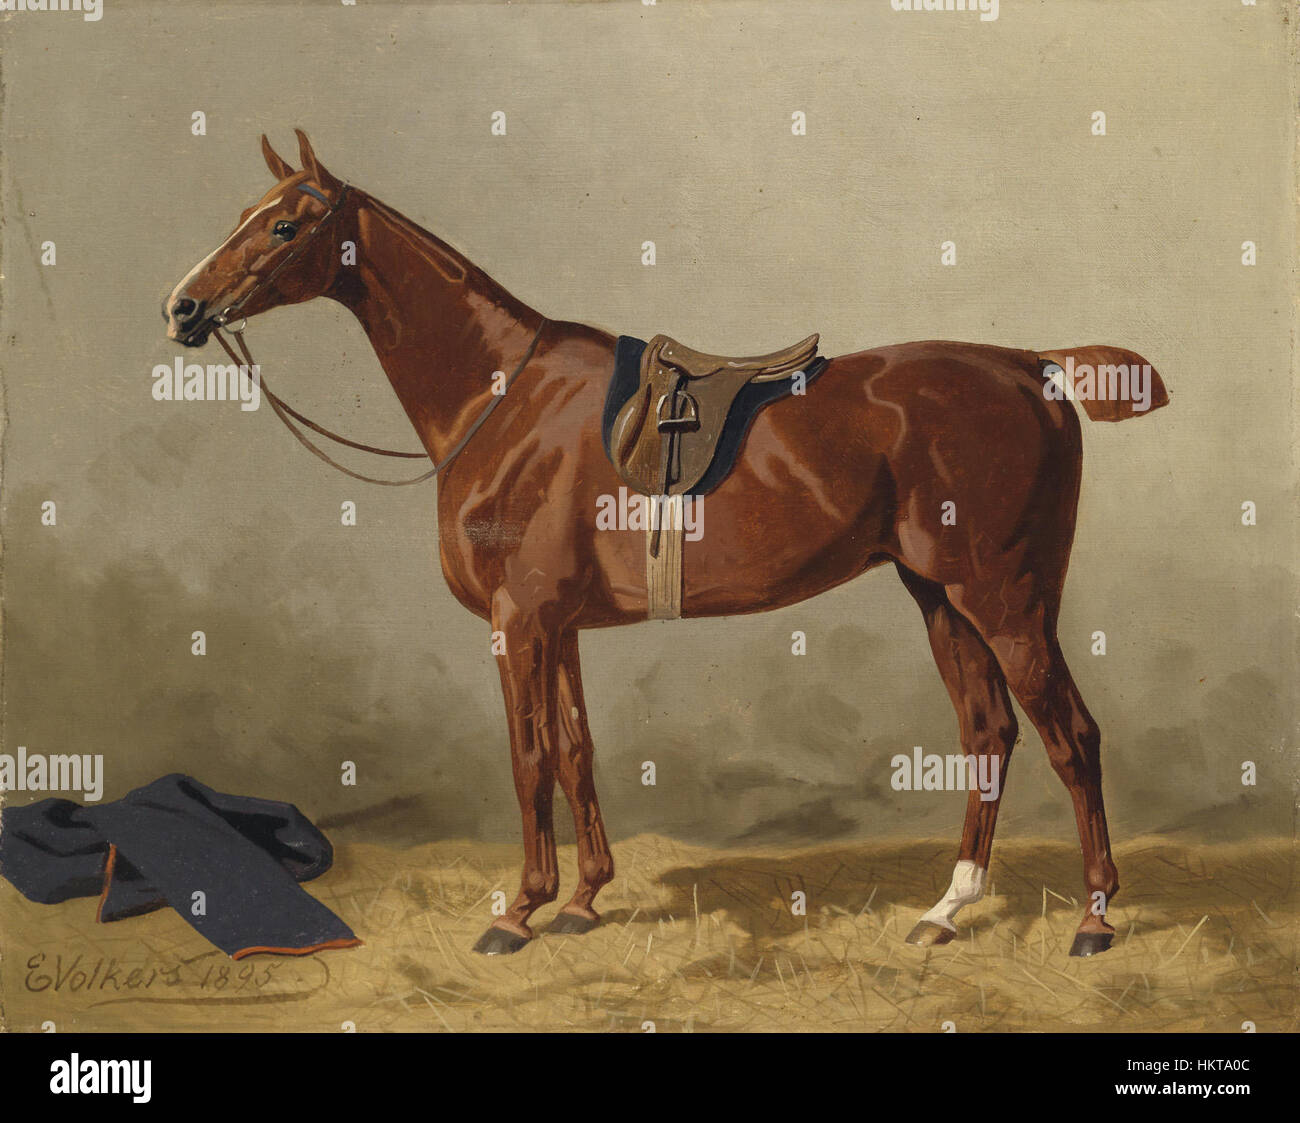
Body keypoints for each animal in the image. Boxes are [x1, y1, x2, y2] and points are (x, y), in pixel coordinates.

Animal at [163, 130, 1169, 958]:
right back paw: (947, 909)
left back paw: (1094, 917)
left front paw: (518, 910)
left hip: (1004, 597)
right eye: (244, 213)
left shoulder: (517, 620)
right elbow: (576, 751)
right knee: (989, 733)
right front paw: (582, 899)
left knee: (1073, 736)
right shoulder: (559, 625)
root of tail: (1032, 366)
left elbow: (528, 758)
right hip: (941, 596)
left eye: (284, 225)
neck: (504, 401)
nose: (183, 307)